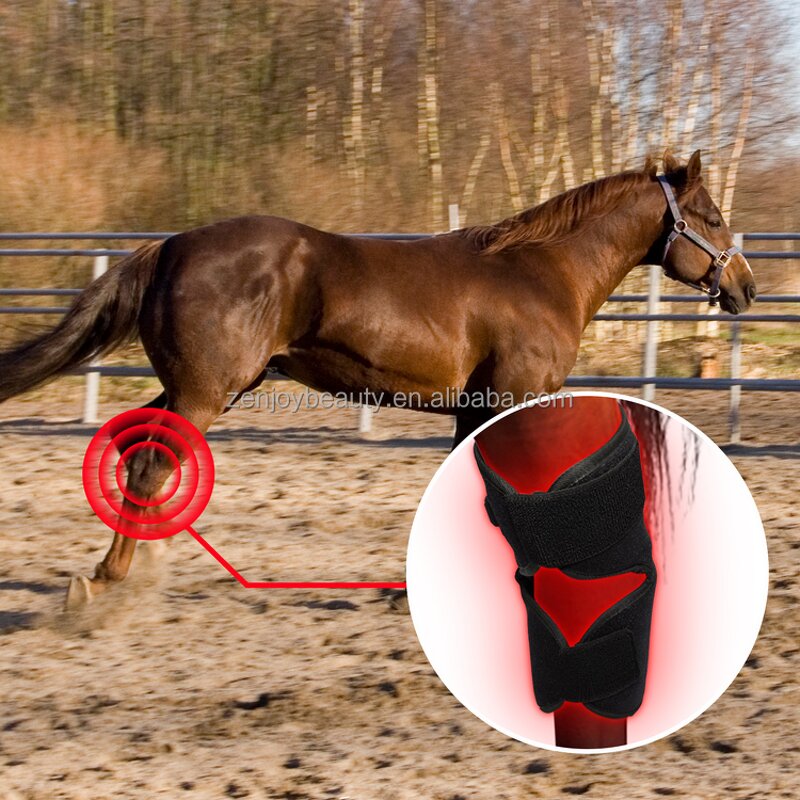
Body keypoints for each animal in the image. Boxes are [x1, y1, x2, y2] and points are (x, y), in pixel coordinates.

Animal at [0, 150, 756, 606]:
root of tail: (169, 247)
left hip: (206, 387)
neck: (539, 273)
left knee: (137, 451)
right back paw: (106, 583)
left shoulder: (475, 406)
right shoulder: (511, 395)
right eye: (714, 218)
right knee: (153, 463)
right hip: (205, 391)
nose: (746, 288)